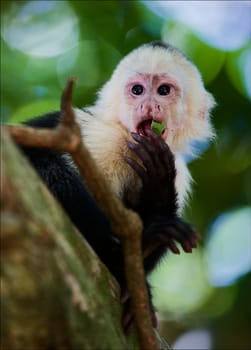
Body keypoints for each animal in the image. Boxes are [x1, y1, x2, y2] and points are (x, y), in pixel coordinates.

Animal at [19, 41, 216, 334]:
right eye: (137, 90)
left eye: (163, 90)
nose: (149, 104)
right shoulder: (100, 136)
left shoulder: (178, 171)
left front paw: (158, 193)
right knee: (48, 168)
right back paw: (126, 251)